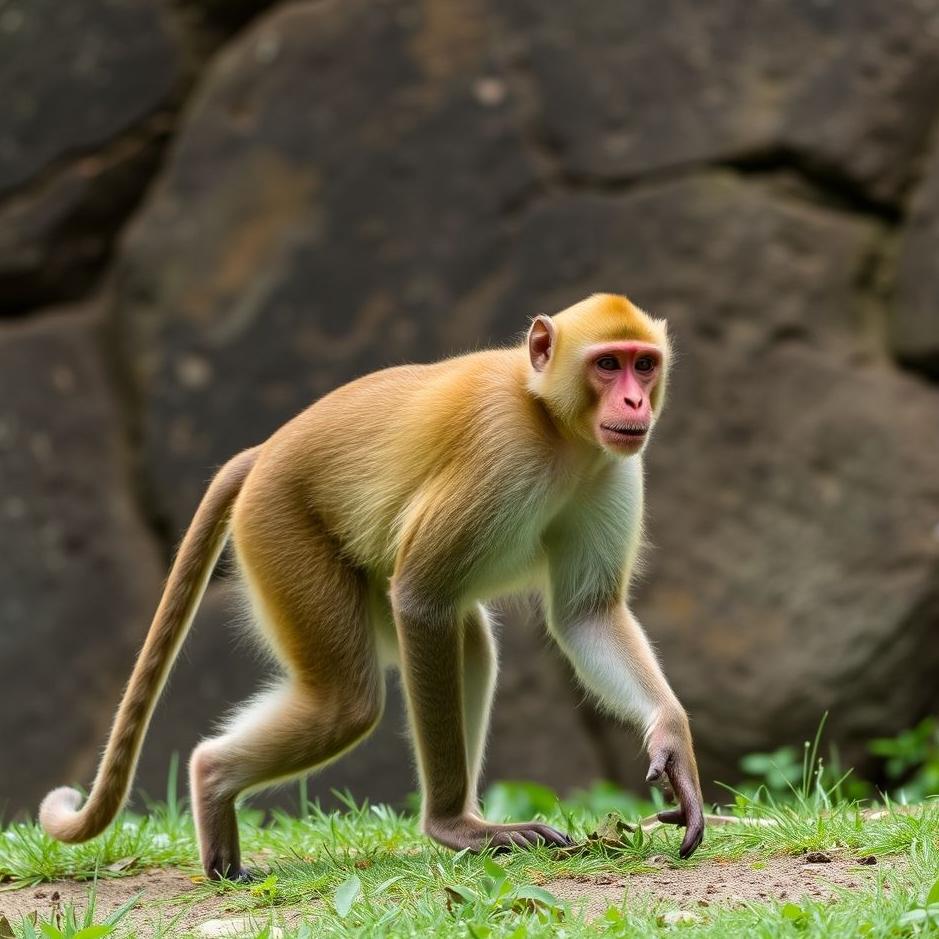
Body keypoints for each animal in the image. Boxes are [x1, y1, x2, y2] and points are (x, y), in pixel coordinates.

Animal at [40, 293, 705, 879]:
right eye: (608, 364)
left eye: (644, 363)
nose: (634, 400)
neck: (555, 426)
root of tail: (266, 450)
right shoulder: (501, 451)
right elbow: (421, 599)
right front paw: (450, 828)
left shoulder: (612, 468)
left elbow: (585, 615)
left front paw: (672, 740)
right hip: (279, 529)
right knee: (350, 700)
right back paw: (221, 779)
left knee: (465, 642)